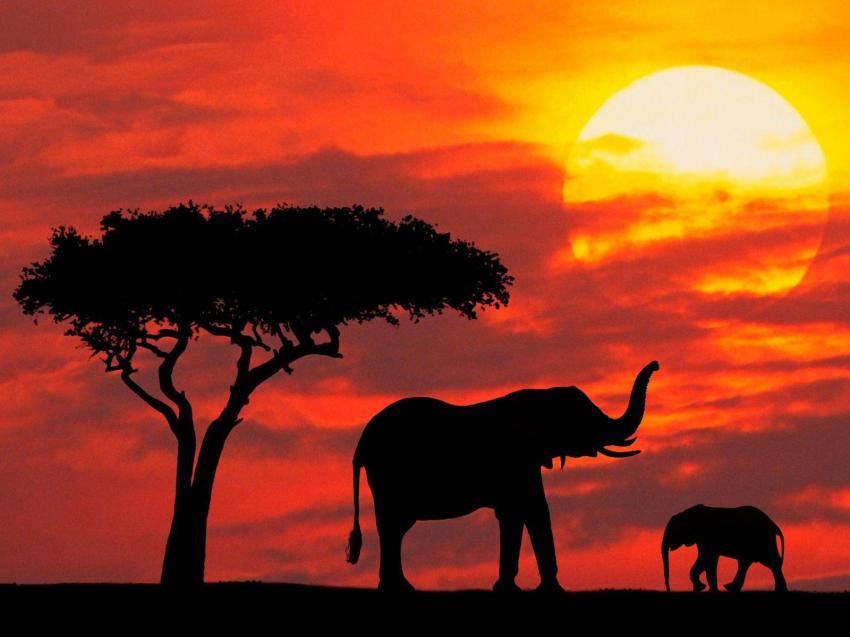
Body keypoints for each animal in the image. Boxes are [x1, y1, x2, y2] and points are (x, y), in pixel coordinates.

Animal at [345, 360, 660, 592]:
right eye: (584, 420)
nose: (656, 364)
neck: (541, 394)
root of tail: (362, 442)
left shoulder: (525, 462)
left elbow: (524, 512)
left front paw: (521, 589)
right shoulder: (515, 460)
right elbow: (527, 510)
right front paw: (539, 591)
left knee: (395, 527)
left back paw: (397, 587)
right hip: (388, 472)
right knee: (393, 524)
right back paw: (397, 589)